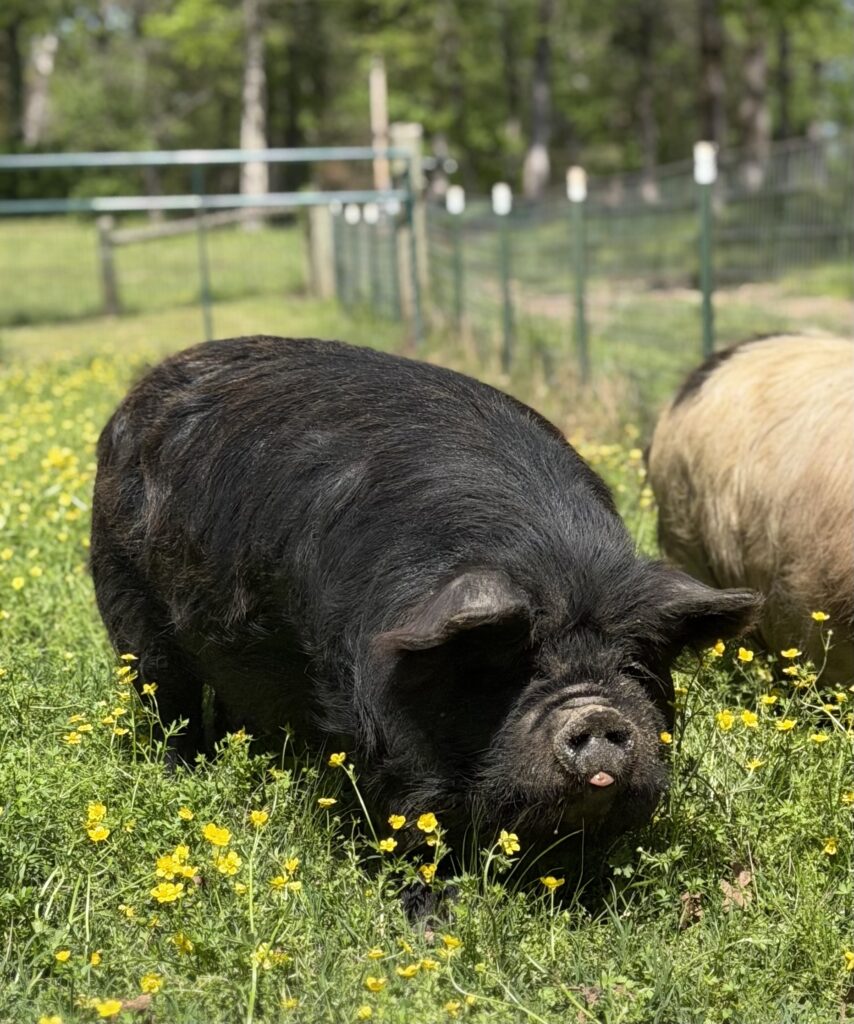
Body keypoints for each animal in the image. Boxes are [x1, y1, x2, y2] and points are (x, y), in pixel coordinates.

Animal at [91, 336, 759, 857]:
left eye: (633, 666)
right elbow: (411, 814)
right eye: (508, 664)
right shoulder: (373, 709)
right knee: (167, 699)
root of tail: (137, 393)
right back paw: (181, 776)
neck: (555, 562)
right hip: (127, 604)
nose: (596, 713)